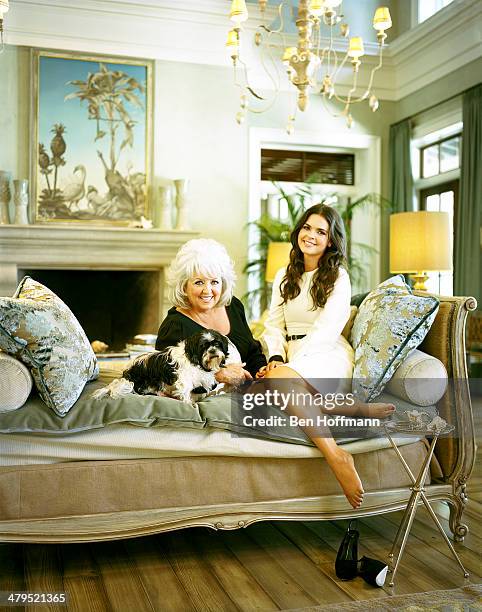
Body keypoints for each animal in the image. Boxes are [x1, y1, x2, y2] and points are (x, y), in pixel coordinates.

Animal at [93, 332, 232, 404]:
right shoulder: (184, 380)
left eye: (217, 344)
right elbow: (186, 391)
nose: (212, 351)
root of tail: (128, 374)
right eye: (203, 346)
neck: (197, 361)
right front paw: (188, 403)